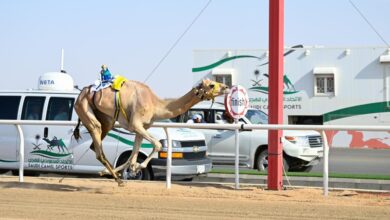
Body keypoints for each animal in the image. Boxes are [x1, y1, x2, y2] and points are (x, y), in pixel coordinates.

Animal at [73, 76, 229, 185]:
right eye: (212, 84)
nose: (226, 87)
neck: (155, 104)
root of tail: (81, 94)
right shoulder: (136, 124)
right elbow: (158, 144)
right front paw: (139, 166)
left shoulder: (141, 128)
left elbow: (133, 155)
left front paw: (133, 168)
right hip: (84, 107)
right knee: (98, 146)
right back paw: (119, 180)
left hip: (107, 120)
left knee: (95, 146)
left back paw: (110, 173)